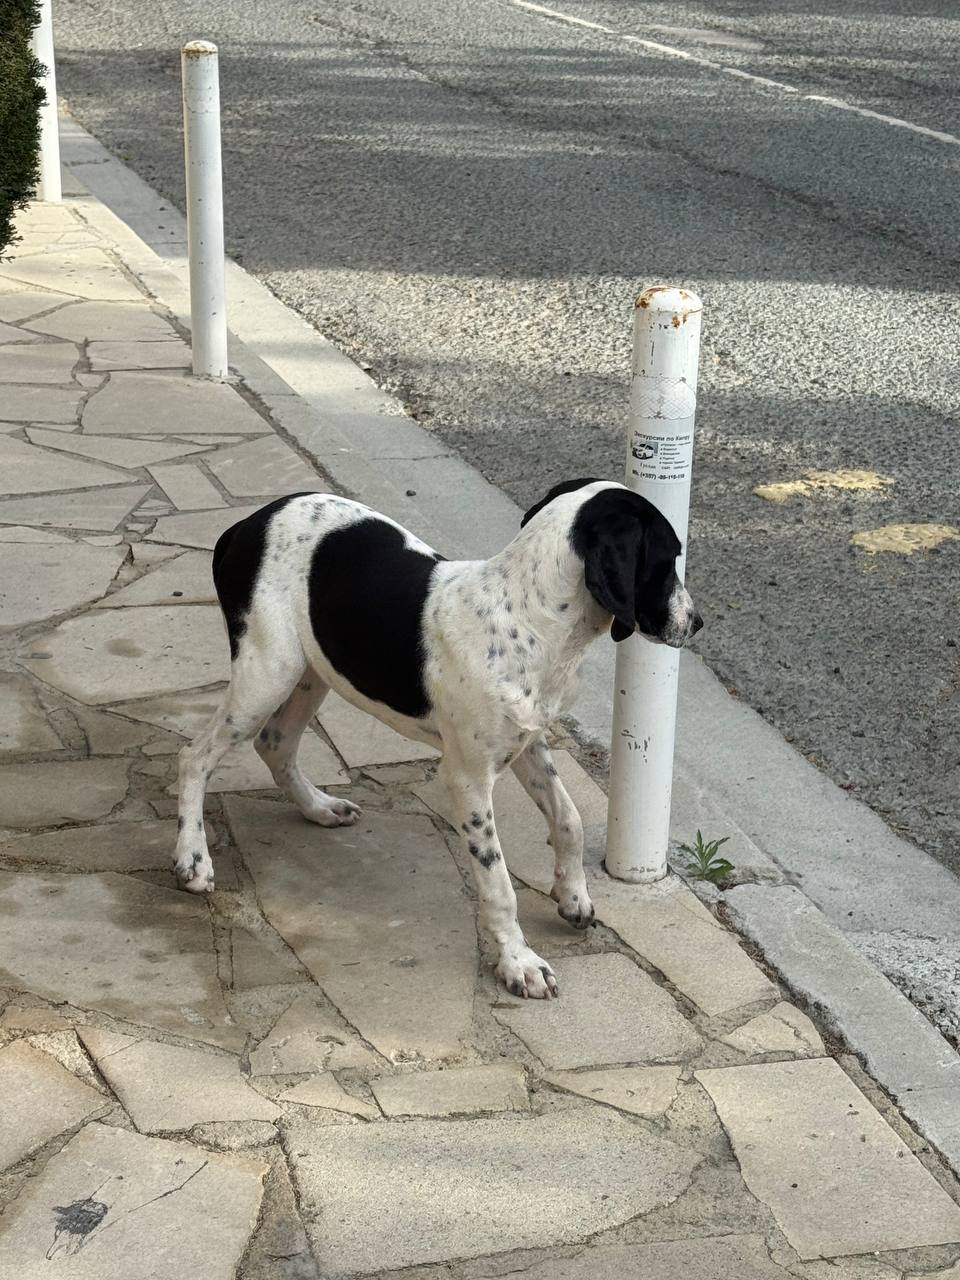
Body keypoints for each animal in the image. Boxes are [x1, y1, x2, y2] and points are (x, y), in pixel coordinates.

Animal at [174, 477, 702, 999]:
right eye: (668, 556)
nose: (696, 623)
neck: (527, 622)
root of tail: (246, 523)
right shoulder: (467, 778)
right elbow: (498, 883)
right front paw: (519, 961)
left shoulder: (528, 744)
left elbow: (569, 819)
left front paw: (573, 896)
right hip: (268, 672)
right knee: (195, 756)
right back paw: (193, 858)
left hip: (311, 669)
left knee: (276, 742)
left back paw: (320, 807)